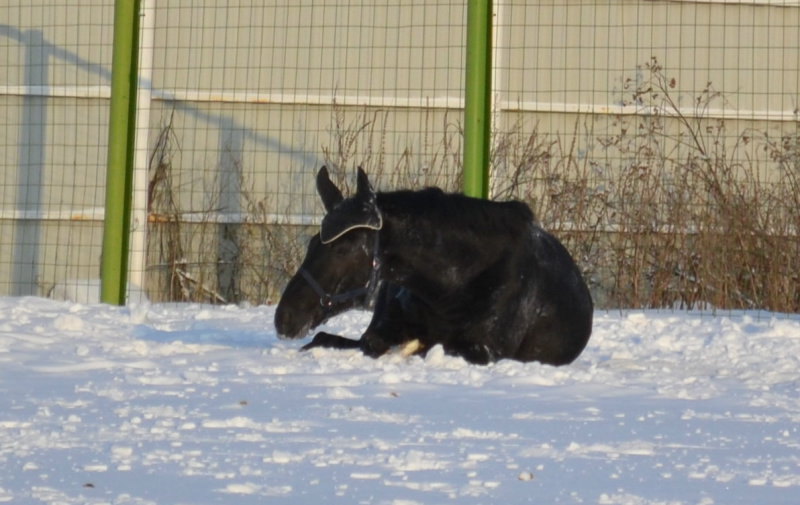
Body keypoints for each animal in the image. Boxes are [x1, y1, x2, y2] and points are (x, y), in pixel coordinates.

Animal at [276, 167, 592, 364]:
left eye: (342, 249)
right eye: (312, 242)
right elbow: (326, 340)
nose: (284, 317)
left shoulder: (482, 351)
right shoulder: (375, 336)